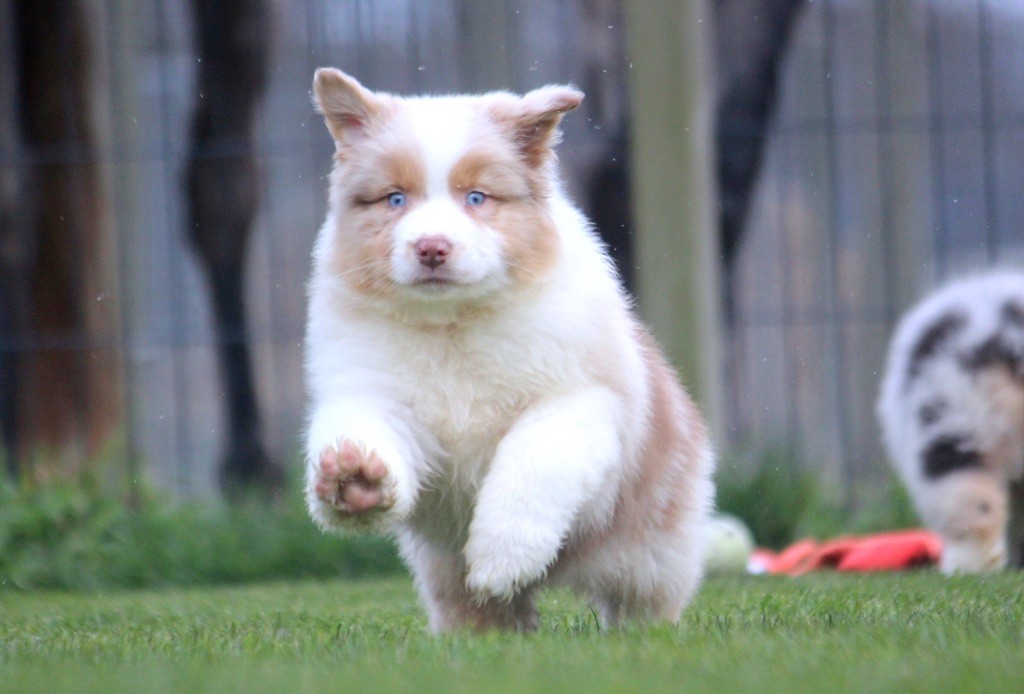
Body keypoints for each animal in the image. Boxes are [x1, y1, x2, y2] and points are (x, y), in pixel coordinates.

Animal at [303, 68, 714, 631]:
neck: (452, 324)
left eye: (476, 198)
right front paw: (354, 477)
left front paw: (501, 559)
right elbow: (373, 429)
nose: (432, 248)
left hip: (654, 549)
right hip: (442, 572)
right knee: (478, 611)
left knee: (640, 600)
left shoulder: (575, 400)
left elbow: (529, 466)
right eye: (395, 199)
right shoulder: (381, 394)